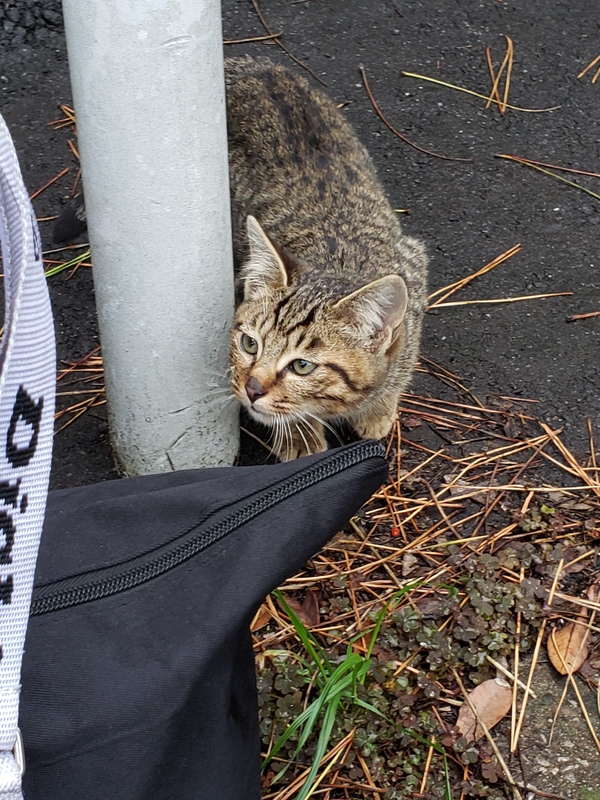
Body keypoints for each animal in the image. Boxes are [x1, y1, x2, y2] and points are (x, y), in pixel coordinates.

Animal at [226, 56, 428, 461]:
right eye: (249, 344)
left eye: (302, 366)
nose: (252, 388)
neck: (338, 258)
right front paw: (300, 437)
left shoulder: (416, 265)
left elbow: (402, 361)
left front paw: (380, 408)